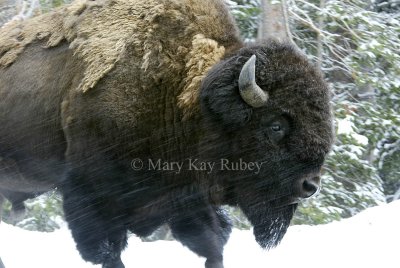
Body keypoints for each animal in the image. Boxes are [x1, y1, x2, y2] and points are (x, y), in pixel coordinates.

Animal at [0, 0, 332, 266]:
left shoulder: (186, 198)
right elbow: (108, 252)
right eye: (276, 125)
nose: (309, 186)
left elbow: (213, 245)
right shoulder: (93, 195)